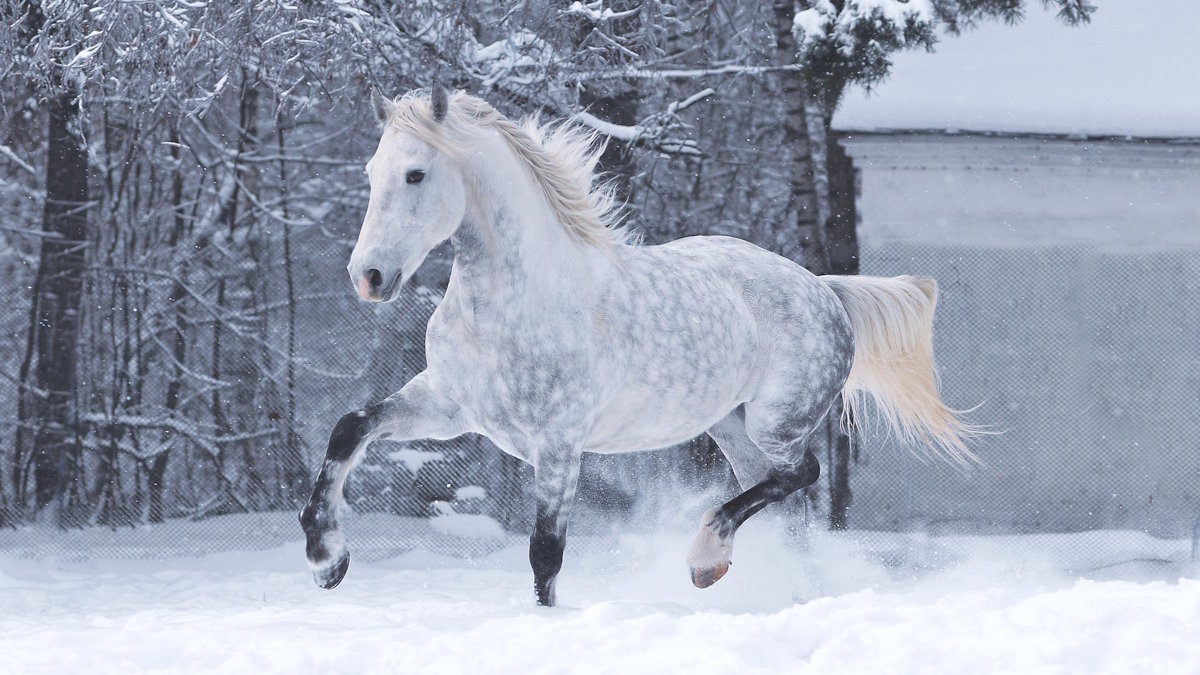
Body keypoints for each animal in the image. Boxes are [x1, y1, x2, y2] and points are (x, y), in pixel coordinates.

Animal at [299, 84, 978, 607]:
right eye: (371, 173)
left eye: (415, 173)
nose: (368, 276)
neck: (517, 300)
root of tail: (824, 288)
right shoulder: (449, 406)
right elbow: (350, 427)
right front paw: (326, 558)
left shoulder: (559, 441)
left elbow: (546, 554)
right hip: (730, 426)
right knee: (785, 497)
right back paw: (778, 586)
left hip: (776, 419)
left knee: (800, 474)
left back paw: (706, 560)